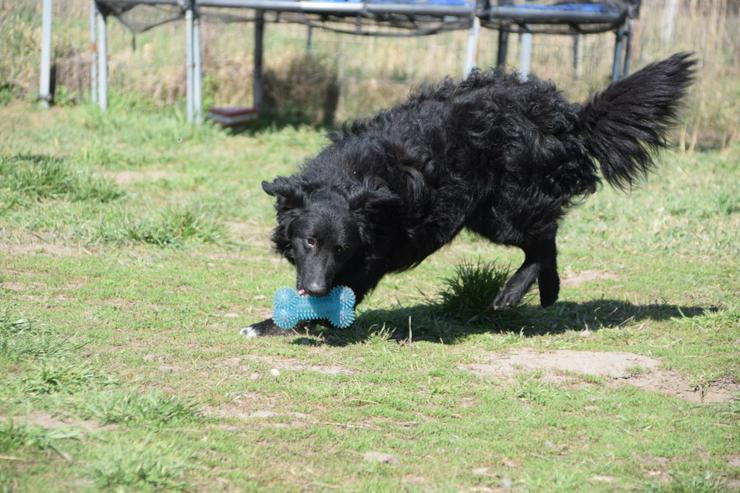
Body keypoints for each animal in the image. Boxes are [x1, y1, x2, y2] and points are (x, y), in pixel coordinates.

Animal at [241, 54, 692, 338]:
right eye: (309, 241)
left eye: (341, 248)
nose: (316, 288)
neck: (351, 179)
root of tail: (568, 121)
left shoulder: (371, 256)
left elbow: (342, 293)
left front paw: (273, 325)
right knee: (546, 239)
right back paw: (549, 292)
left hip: (502, 208)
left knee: (543, 239)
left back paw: (516, 292)